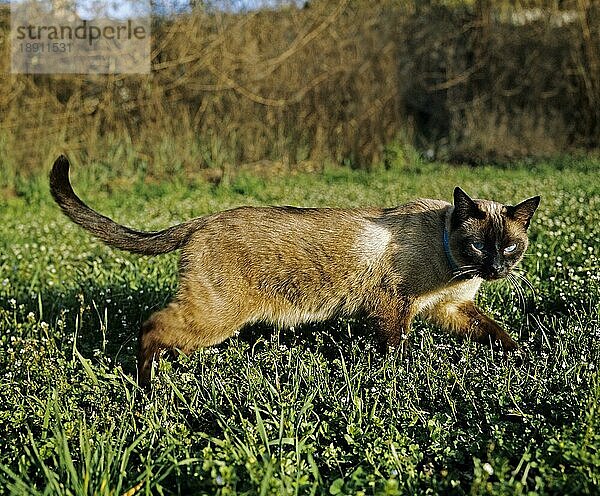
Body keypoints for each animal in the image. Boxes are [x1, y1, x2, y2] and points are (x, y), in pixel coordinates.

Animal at [49, 155, 540, 384]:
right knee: (151, 326)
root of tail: (203, 220)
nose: (495, 268)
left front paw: (521, 357)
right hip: (214, 317)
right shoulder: (393, 308)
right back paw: (147, 388)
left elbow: (497, 333)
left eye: (510, 248)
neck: (455, 269)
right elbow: (394, 352)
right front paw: (396, 380)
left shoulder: (452, 310)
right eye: (477, 245)